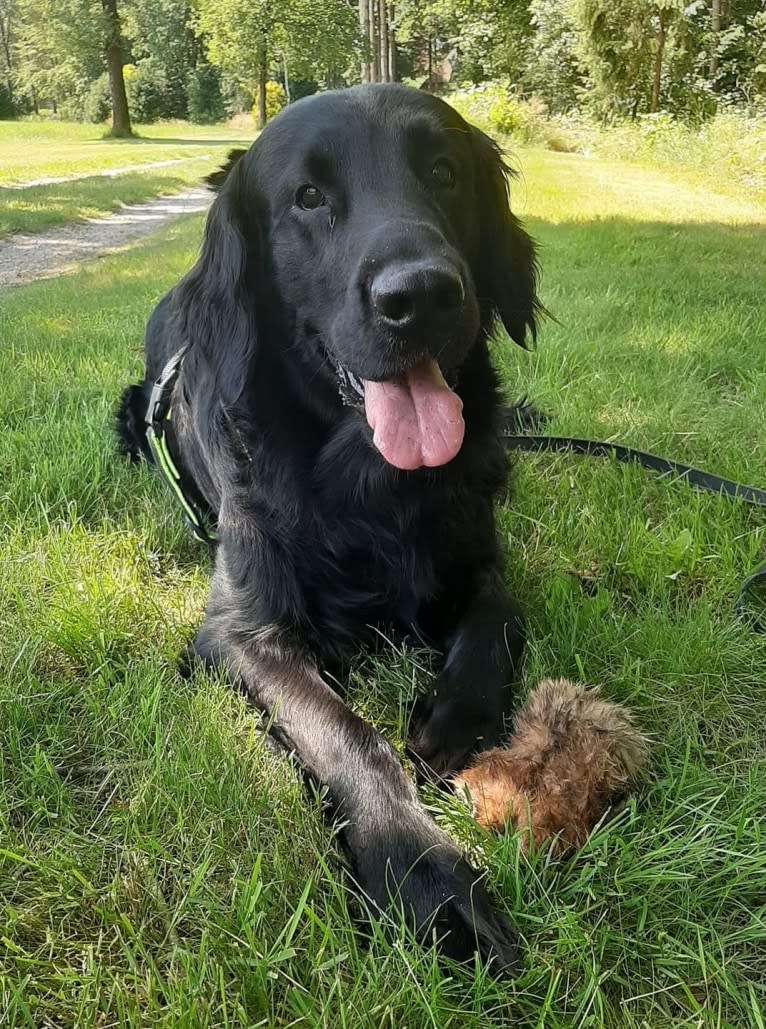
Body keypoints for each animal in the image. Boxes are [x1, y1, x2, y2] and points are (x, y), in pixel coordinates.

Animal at [118, 82, 539, 971]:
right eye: (308, 197)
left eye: (445, 172)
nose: (422, 296)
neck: (372, 487)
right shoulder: (243, 628)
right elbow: (349, 736)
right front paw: (429, 879)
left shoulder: (479, 554)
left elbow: (498, 613)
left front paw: (454, 722)